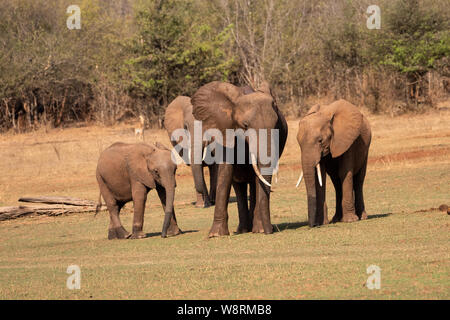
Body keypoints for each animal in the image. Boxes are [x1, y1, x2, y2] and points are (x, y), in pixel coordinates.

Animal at [191, 81, 288, 236]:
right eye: (245, 126)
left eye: (276, 126)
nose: (270, 231)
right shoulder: (225, 133)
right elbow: (225, 173)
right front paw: (216, 235)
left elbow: (258, 177)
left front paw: (260, 230)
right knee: (238, 185)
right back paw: (242, 230)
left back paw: (253, 229)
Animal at [296, 100, 372, 228]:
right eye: (298, 143)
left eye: (320, 140)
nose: (313, 225)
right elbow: (321, 176)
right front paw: (323, 223)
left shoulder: (348, 140)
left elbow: (345, 172)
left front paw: (350, 220)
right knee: (336, 183)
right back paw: (336, 219)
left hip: (366, 149)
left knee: (358, 181)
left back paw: (362, 217)